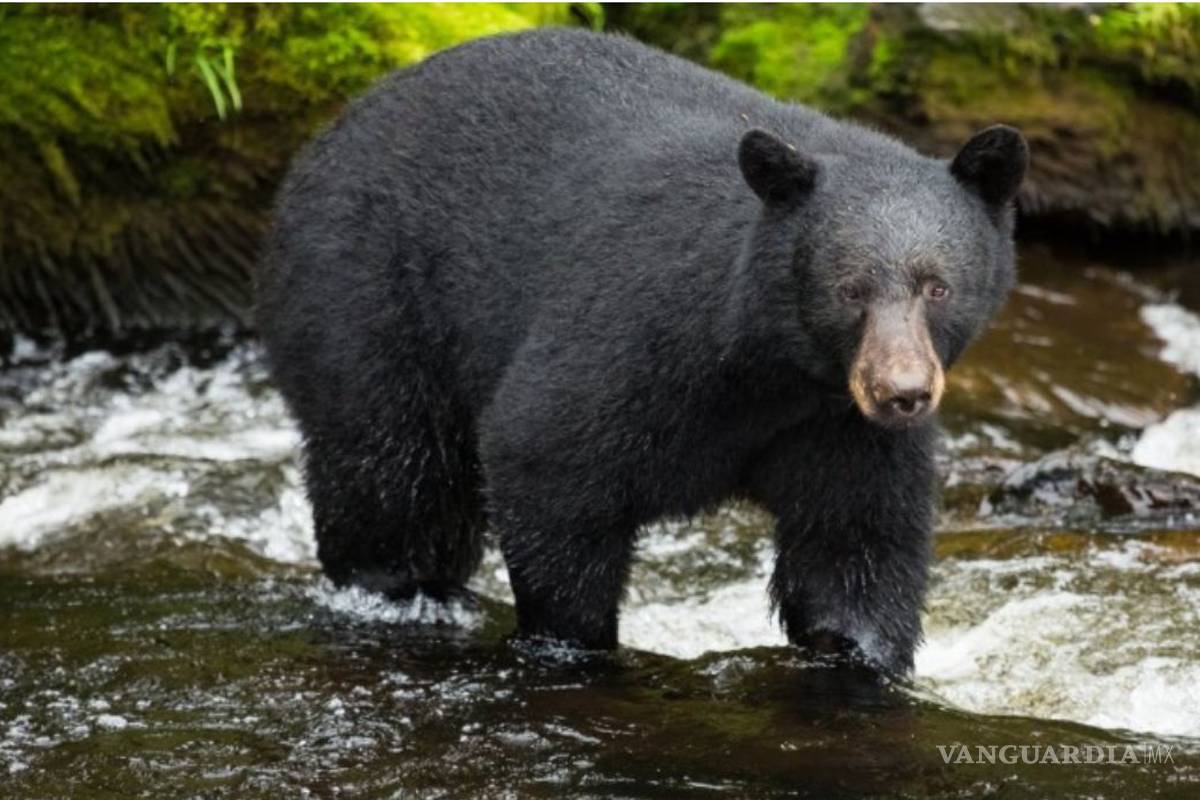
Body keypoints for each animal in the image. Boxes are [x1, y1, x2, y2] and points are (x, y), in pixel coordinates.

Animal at [256, 28, 1026, 676]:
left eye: (937, 286)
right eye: (850, 289)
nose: (903, 392)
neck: (768, 366)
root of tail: (329, 132)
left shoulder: (836, 425)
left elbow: (854, 544)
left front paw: (861, 654)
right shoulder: (634, 333)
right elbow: (545, 453)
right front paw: (575, 641)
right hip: (368, 293)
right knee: (393, 469)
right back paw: (401, 589)